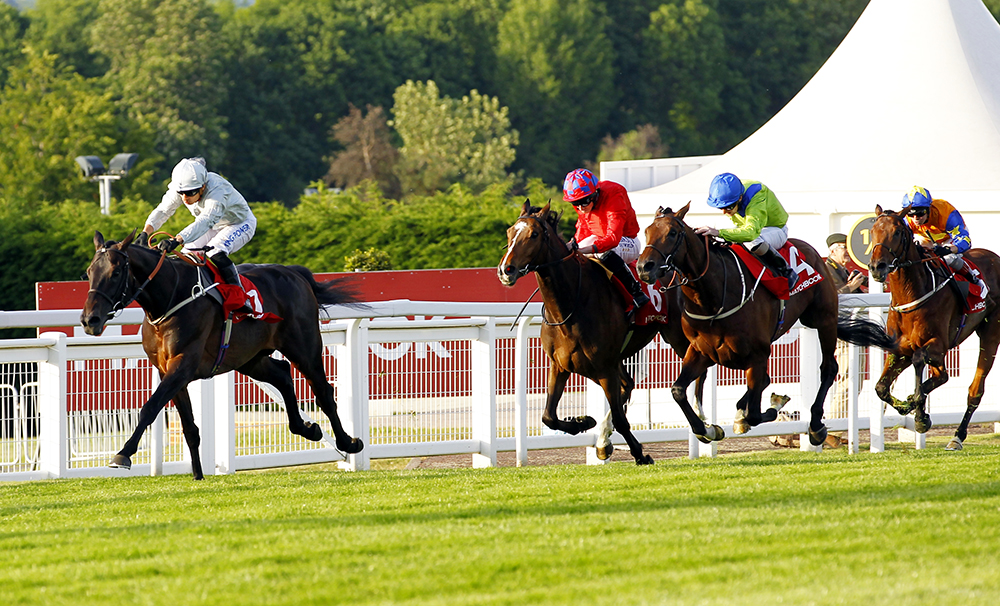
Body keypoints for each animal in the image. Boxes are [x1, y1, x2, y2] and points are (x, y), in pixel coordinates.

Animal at [80, 232, 364, 480]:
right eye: (89, 272)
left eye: (116, 272)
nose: (89, 320)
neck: (170, 298)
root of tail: (295, 273)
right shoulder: (167, 370)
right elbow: (189, 426)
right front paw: (198, 475)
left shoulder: (182, 365)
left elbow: (150, 408)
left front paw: (123, 454)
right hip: (249, 358)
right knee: (283, 375)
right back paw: (307, 428)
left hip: (304, 347)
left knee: (323, 391)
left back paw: (349, 442)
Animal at [496, 201, 708, 466]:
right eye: (509, 232)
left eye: (534, 234)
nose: (506, 270)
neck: (571, 304)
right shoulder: (561, 365)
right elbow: (548, 416)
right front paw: (582, 422)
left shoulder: (605, 368)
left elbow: (620, 418)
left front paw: (640, 454)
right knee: (629, 385)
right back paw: (603, 440)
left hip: (678, 338)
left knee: (700, 372)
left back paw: (706, 424)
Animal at [640, 204, 900, 446]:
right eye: (647, 231)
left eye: (673, 233)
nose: (644, 267)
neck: (713, 298)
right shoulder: (701, 351)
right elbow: (678, 390)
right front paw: (708, 429)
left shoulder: (757, 354)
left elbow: (755, 414)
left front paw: (772, 407)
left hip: (823, 318)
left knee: (828, 368)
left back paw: (816, 425)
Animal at [868, 209, 1000, 452]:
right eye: (872, 231)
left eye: (897, 231)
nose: (876, 267)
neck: (911, 295)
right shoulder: (899, 350)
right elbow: (881, 388)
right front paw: (906, 405)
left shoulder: (937, 345)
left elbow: (920, 362)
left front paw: (920, 416)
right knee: (943, 376)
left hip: (991, 333)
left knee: (974, 390)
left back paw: (957, 436)